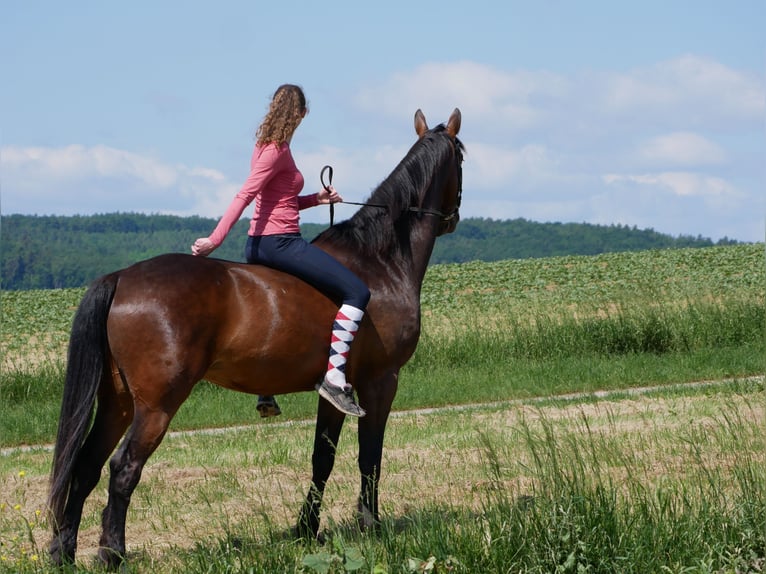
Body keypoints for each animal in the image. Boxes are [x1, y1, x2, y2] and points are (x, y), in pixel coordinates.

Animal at [51, 107, 464, 568]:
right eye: (462, 156)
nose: (453, 220)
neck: (379, 260)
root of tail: (121, 277)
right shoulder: (381, 381)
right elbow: (369, 455)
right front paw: (370, 525)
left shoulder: (335, 391)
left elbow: (322, 458)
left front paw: (306, 529)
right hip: (156, 405)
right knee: (123, 468)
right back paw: (112, 554)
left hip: (118, 401)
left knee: (86, 465)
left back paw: (64, 551)